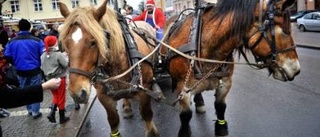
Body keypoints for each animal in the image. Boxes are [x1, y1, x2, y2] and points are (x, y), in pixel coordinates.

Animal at [58, 1, 159, 137]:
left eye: (93, 42)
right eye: (66, 44)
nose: (77, 93)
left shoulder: (145, 88)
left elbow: (147, 114)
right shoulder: (103, 96)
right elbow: (113, 120)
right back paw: (127, 107)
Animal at [162, 0, 300, 136]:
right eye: (284, 31)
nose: (296, 69)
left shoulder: (226, 83)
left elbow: (220, 107)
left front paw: (221, 128)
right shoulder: (182, 87)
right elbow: (186, 115)